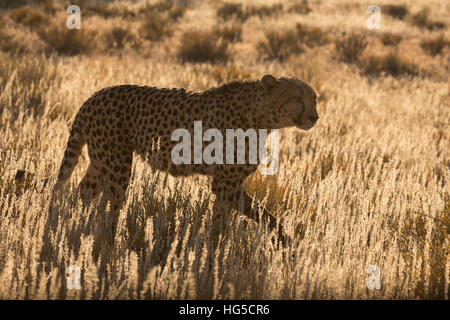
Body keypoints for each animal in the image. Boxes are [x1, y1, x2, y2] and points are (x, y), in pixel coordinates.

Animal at [54, 74, 318, 246]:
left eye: (314, 98)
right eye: (297, 98)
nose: (314, 117)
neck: (262, 115)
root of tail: (93, 96)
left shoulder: (230, 184)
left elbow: (239, 218)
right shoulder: (225, 183)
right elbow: (252, 216)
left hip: (99, 161)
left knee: (82, 193)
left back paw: (74, 225)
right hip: (117, 164)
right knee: (110, 206)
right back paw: (108, 242)